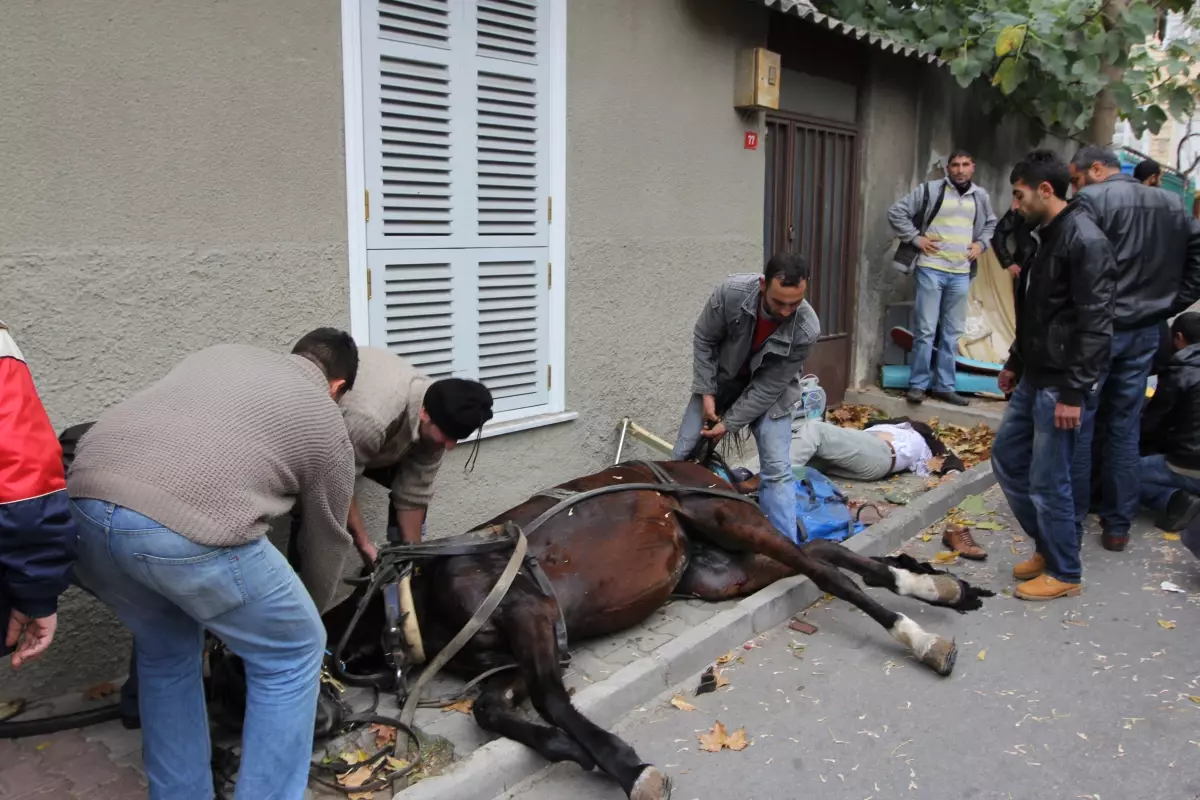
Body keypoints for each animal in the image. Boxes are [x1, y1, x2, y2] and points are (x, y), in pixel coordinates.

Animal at [324, 455, 988, 800]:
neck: (414, 594)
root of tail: (704, 467)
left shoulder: (530, 614)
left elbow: (551, 701)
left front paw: (628, 767)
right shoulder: (523, 650)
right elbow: (492, 709)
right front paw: (577, 752)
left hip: (727, 521)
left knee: (827, 574)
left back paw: (921, 634)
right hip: (721, 571)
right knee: (822, 557)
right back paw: (936, 587)